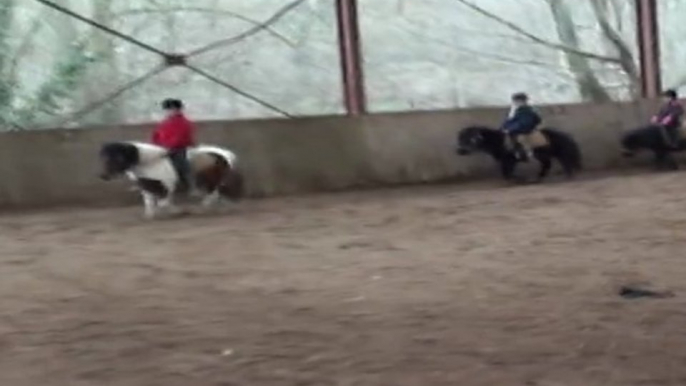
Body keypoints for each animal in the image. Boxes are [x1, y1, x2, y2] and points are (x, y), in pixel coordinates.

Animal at [99, 142, 245, 219]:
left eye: (116, 158)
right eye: (105, 158)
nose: (104, 176)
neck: (151, 164)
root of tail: (220, 154)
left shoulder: (167, 187)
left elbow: (163, 203)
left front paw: (177, 212)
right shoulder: (146, 188)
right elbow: (150, 203)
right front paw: (149, 216)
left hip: (209, 179)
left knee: (213, 194)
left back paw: (203, 209)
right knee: (217, 193)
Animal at [456, 126, 584, 182]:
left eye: (470, 138)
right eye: (460, 138)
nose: (459, 151)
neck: (500, 141)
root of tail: (567, 135)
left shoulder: (509, 160)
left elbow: (507, 174)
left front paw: (519, 178)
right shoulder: (506, 161)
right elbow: (506, 174)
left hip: (562, 154)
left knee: (566, 165)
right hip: (545, 156)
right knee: (548, 165)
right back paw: (539, 177)